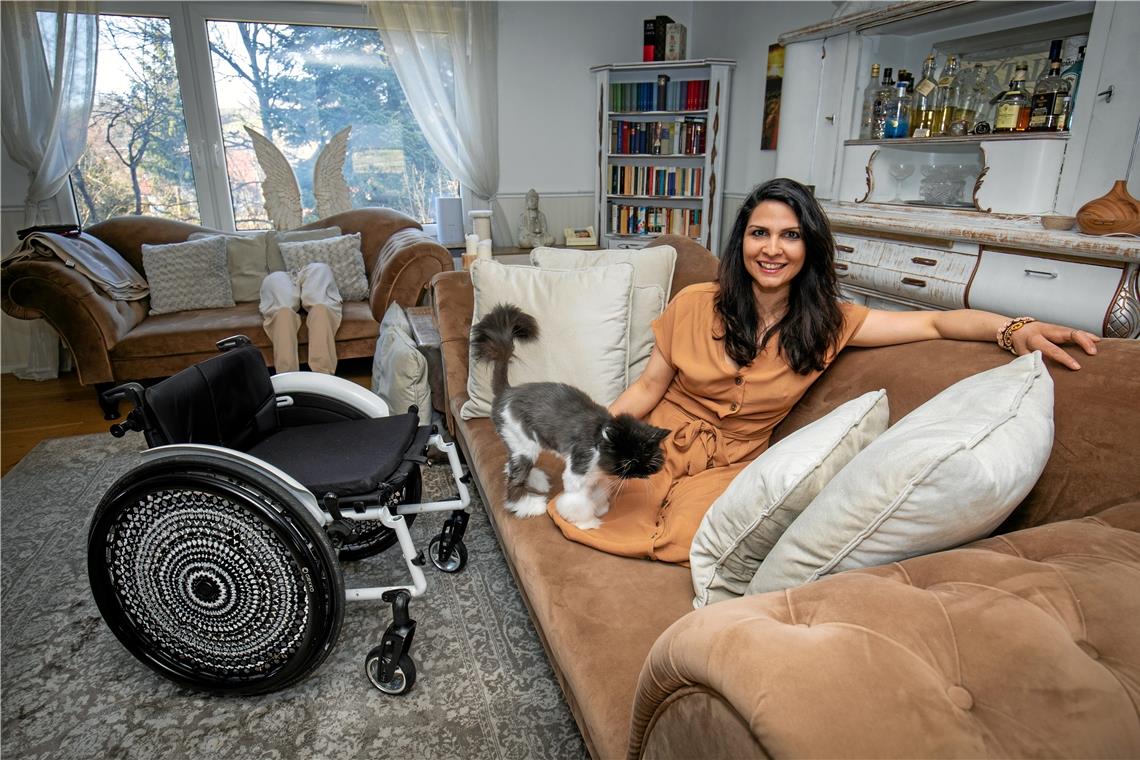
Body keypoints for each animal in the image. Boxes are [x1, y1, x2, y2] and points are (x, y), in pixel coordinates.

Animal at [469, 303, 665, 528]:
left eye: (649, 461)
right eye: (628, 462)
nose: (640, 472)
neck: (599, 442)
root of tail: (507, 392)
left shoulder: (598, 479)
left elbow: (597, 495)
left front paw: (600, 508)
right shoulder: (577, 474)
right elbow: (578, 503)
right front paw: (588, 523)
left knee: (511, 467)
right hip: (524, 446)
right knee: (514, 481)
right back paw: (529, 505)